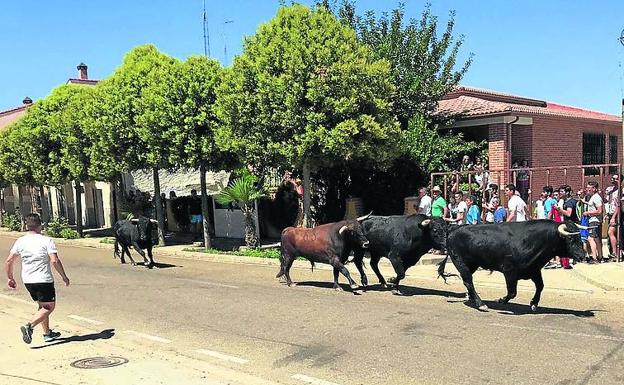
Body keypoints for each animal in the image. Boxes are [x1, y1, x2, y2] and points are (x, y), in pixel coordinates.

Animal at [436, 218, 588, 310]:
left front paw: (534, 303)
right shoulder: (509, 271)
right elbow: (512, 292)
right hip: (461, 262)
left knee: (467, 282)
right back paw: (480, 304)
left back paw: (474, 300)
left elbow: (540, 286)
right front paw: (502, 300)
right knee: (468, 281)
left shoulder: (534, 270)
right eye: (570, 239)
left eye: (579, 237)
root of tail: (454, 229)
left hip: (471, 264)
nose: (583, 256)